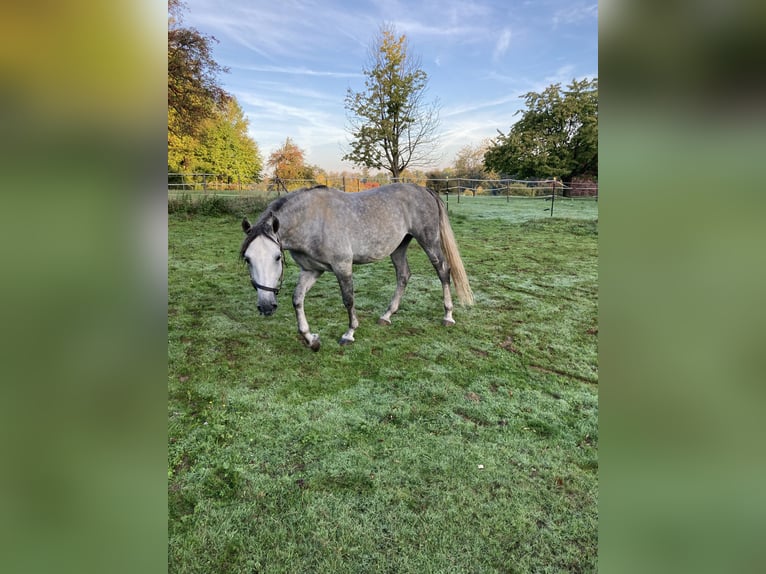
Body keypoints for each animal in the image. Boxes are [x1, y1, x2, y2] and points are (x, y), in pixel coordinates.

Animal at [242, 184, 474, 352]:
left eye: (277, 257)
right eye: (247, 259)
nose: (266, 306)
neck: (312, 220)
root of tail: (424, 190)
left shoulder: (342, 266)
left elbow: (348, 299)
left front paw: (349, 334)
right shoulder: (312, 270)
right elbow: (297, 299)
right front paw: (311, 339)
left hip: (429, 242)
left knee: (443, 272)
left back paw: (448, 316)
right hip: (399, 246)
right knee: (403, 275)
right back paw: (387, 315)